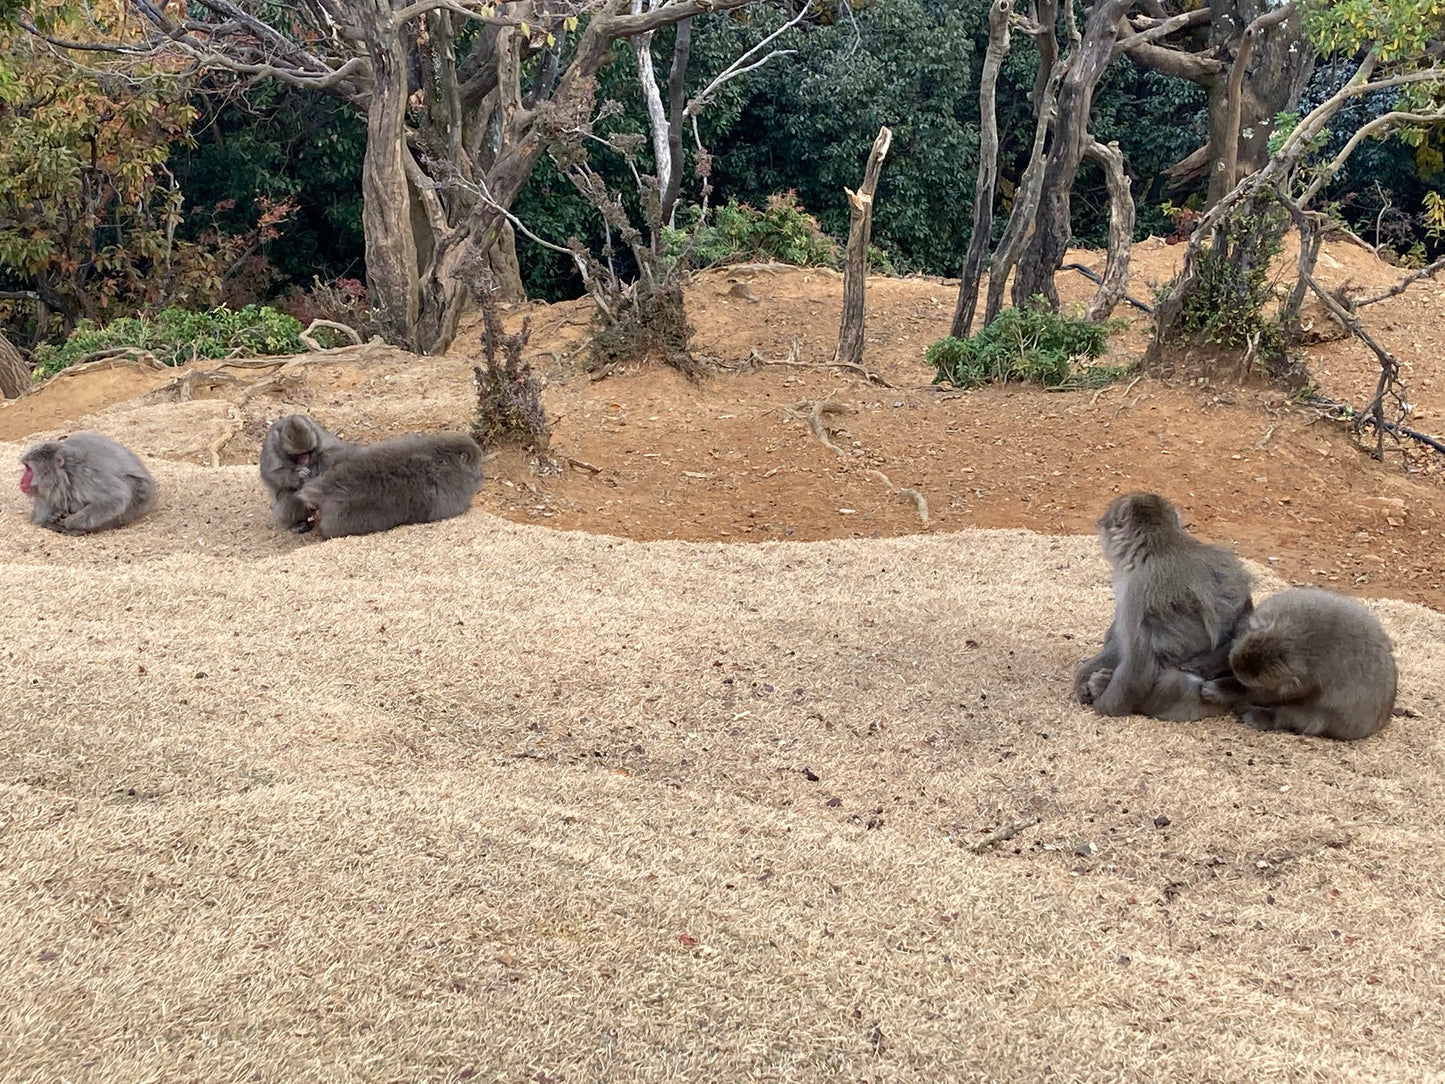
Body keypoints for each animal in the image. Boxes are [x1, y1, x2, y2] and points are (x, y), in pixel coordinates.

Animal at [18, 432, 157, 534]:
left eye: (28, 468)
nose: (22, 481)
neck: (66, 475)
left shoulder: (85, 475)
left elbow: (116, 498)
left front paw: (70, 521)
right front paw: (53, 517)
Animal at [1199, 588, 1397, 741]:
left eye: (1255, 678)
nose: (1236, 667)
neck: (1294, 641)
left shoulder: (1299, 684)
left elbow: (1258, 694)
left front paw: (1218, 689)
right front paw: (1207, 665)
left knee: (1297, 717)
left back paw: (1255, 715)